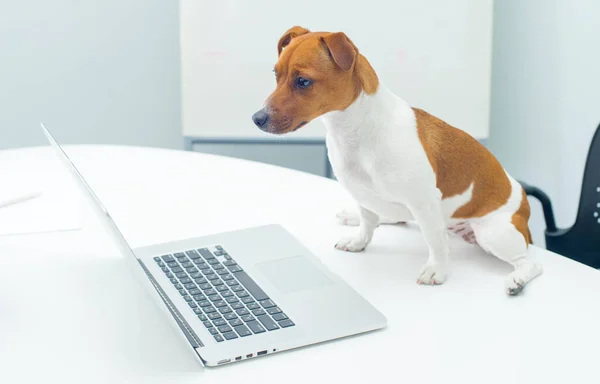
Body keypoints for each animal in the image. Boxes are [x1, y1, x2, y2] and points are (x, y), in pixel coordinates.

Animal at [251, 27, 540, 296]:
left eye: (303, 81)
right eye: (276, 75)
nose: (257, 118)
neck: (356, 131)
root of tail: (524, 204)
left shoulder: (424, 202)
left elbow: (435, 242)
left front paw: (437, 269)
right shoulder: (362, 193)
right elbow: (368, 223)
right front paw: (359, 239)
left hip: (494, 234)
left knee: (529, 262)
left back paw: (517, 280)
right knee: (395, 217)